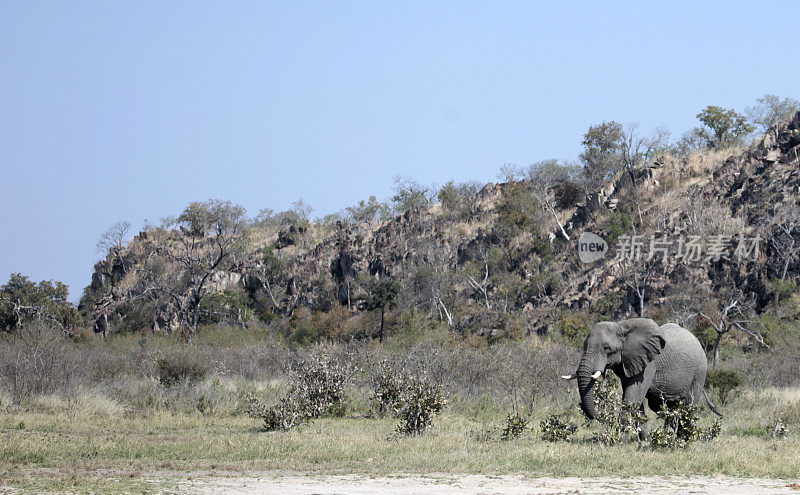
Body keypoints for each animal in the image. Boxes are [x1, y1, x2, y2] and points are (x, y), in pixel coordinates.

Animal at [560, 322, 720, 434]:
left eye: (607, 349)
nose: (596, 415)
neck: (621, 326)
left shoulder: (649, 363)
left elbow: (632, 397)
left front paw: (620, 441)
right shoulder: (627, 363)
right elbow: (634, 399)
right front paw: (645, 439)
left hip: (699, 372)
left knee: (689, 405)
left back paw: (683, 438)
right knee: (666, 407)